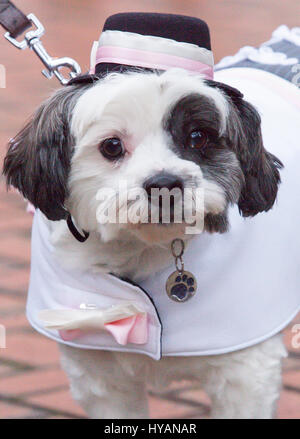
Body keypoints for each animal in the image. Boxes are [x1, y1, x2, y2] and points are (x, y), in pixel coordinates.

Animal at [2, 12, 300, 420]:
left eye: (197, 137)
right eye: (112, 146)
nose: (164, 184)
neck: (143, 253)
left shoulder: (246, 374)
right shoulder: (102, 378)